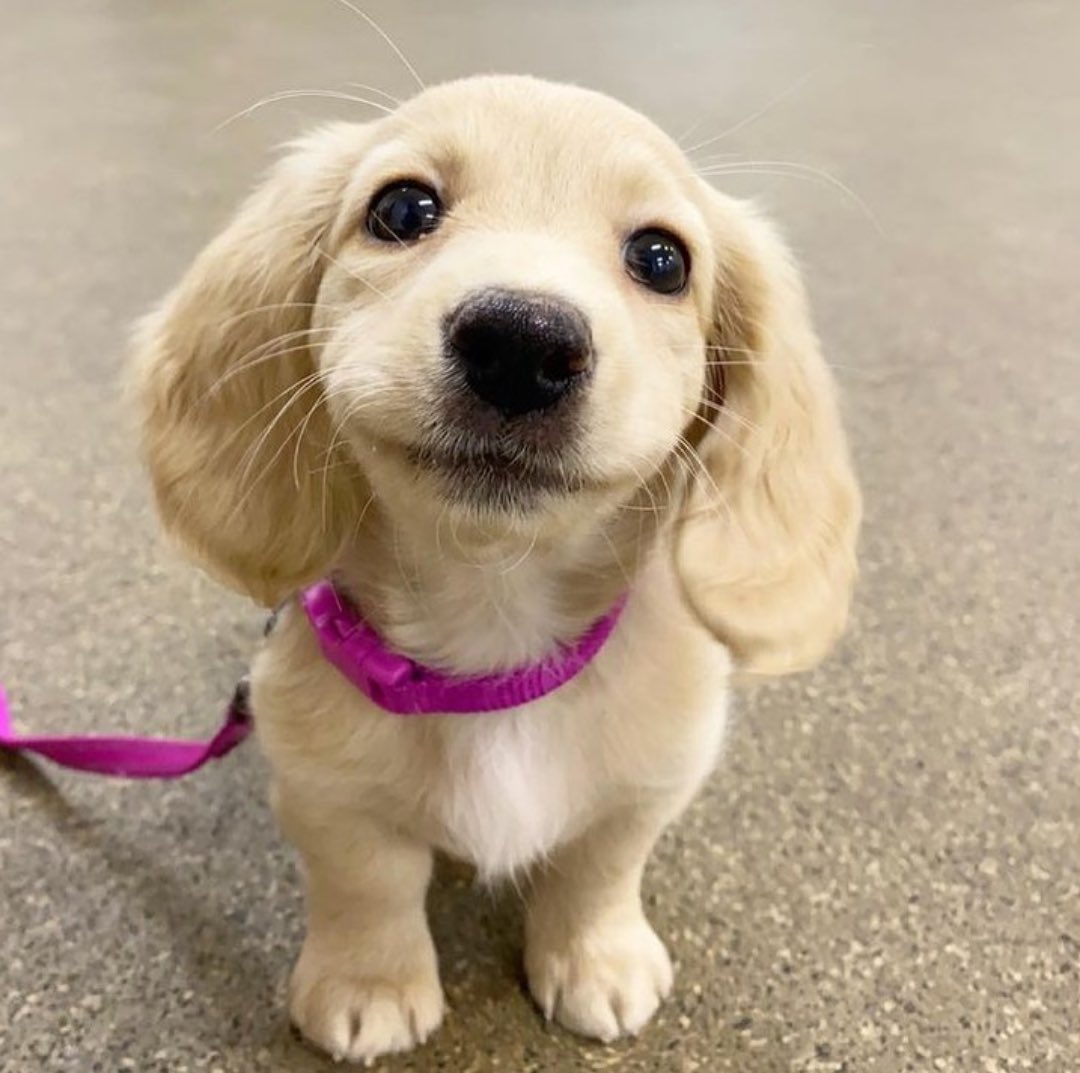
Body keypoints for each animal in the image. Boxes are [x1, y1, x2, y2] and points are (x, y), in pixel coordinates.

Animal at [132, 75, 859, 1062]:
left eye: (662, 259)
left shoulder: (650, 784)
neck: (494, 629)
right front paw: (369, 984)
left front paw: (597, 959)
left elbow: (599, 867)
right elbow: (368, 884)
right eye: (402, 209)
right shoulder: (327, 792)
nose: (523, 340)